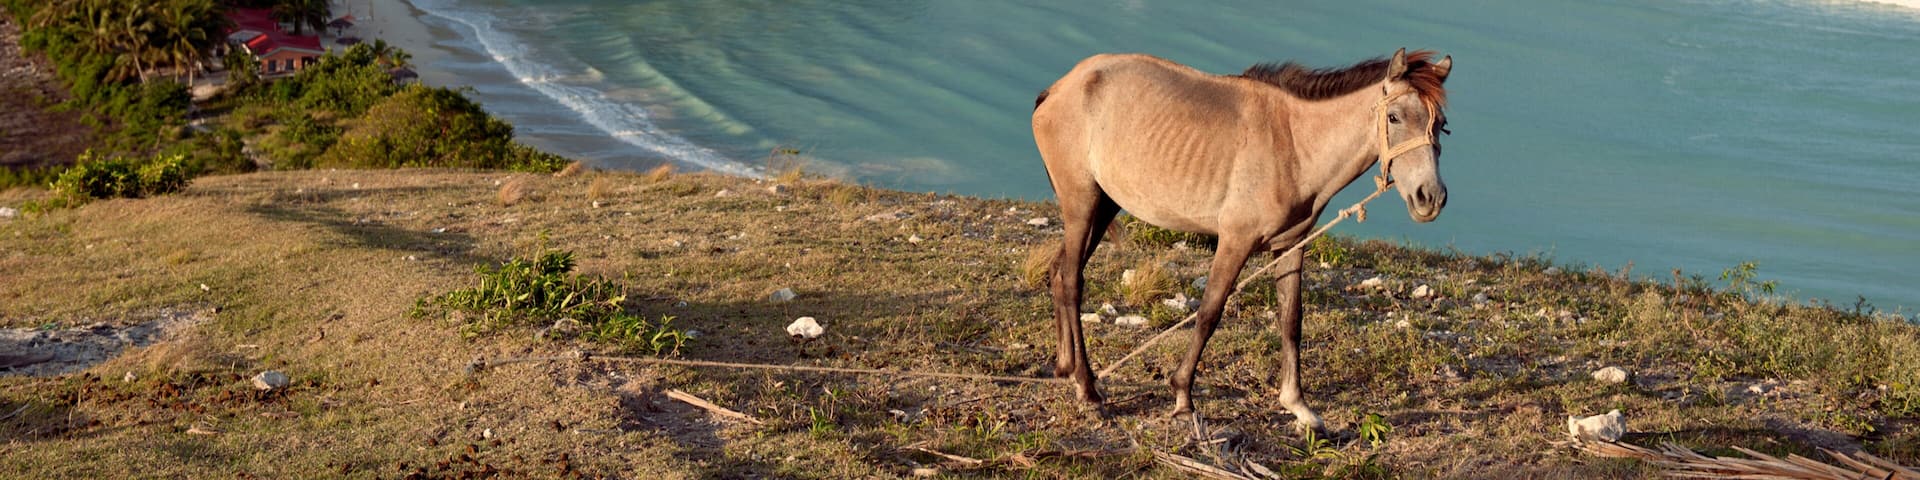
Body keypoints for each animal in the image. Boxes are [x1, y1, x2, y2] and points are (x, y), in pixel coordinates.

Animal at [1030, 48, 1452, 432]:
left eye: (1441, 124)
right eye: (1395, 117)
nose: (1430, 198)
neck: (1294, 143)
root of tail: (1058, 89)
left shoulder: (1291, 245)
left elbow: (1291, 319)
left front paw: (1298, 405)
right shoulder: (1235, 241)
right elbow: (1209, 313)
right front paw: (1183, 397)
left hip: (1103, 206)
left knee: (1059, 272)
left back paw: (1066, 367)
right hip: (1082, 203)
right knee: (1072, 280)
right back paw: (1087, 389)